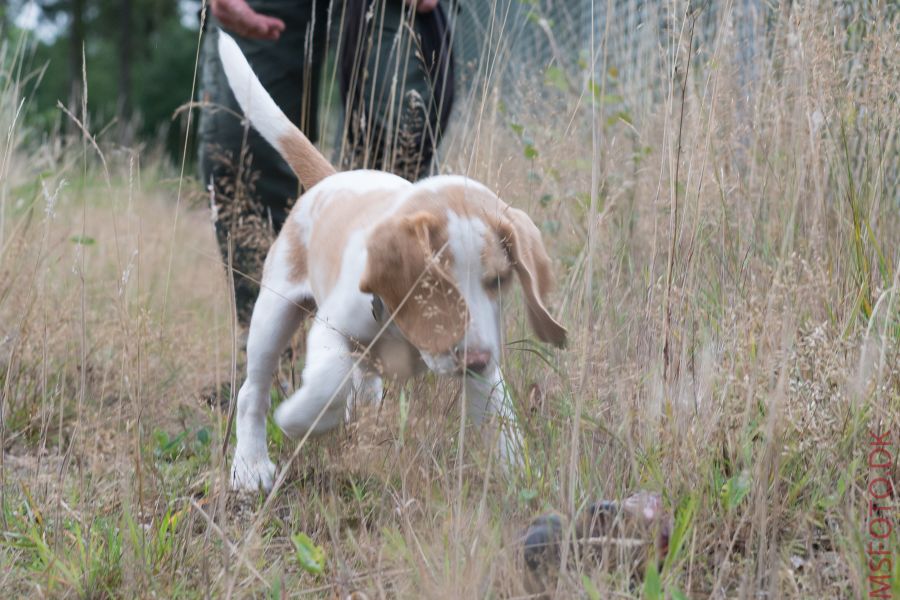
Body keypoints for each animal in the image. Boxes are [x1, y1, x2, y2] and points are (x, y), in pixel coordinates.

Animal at [216, 32, 564, 492]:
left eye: (499, 281)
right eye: (431, 286)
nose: (474, 360)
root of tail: (330, 178)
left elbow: (501, 418)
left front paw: (524, 480)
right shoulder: (331, 328)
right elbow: (329, 377)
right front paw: (298, 419)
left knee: (363, 385)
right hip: (274, 313)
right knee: (252, 392)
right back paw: (251, 465)